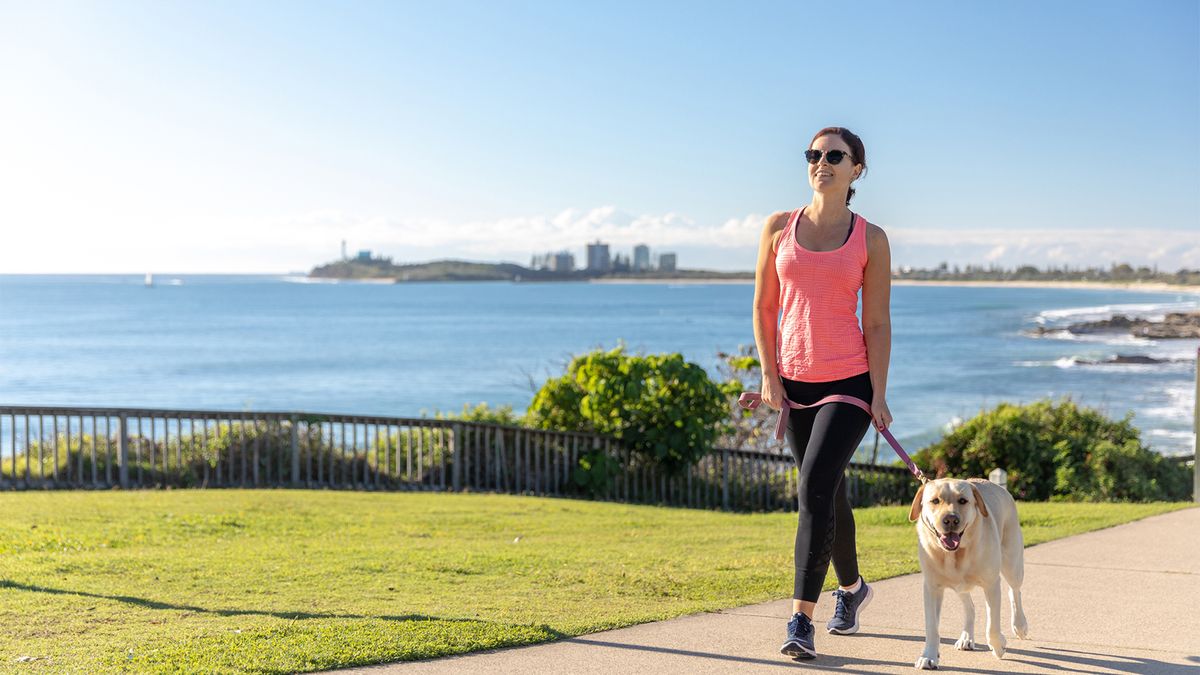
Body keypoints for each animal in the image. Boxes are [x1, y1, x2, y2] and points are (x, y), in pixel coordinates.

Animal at [912, 475, 1027, 662]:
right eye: (935, 500)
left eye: (963, 500)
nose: (951, 519)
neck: (956, 554)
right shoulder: (931, 587)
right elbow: (931, 626)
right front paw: (929, 657)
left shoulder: (991, 585)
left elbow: (992, 626)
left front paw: (999, 646)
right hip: (960, 585)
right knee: (970, 607)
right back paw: (966, 637)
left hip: (1012, 563)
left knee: (1014, 591)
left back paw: (1020, 625)